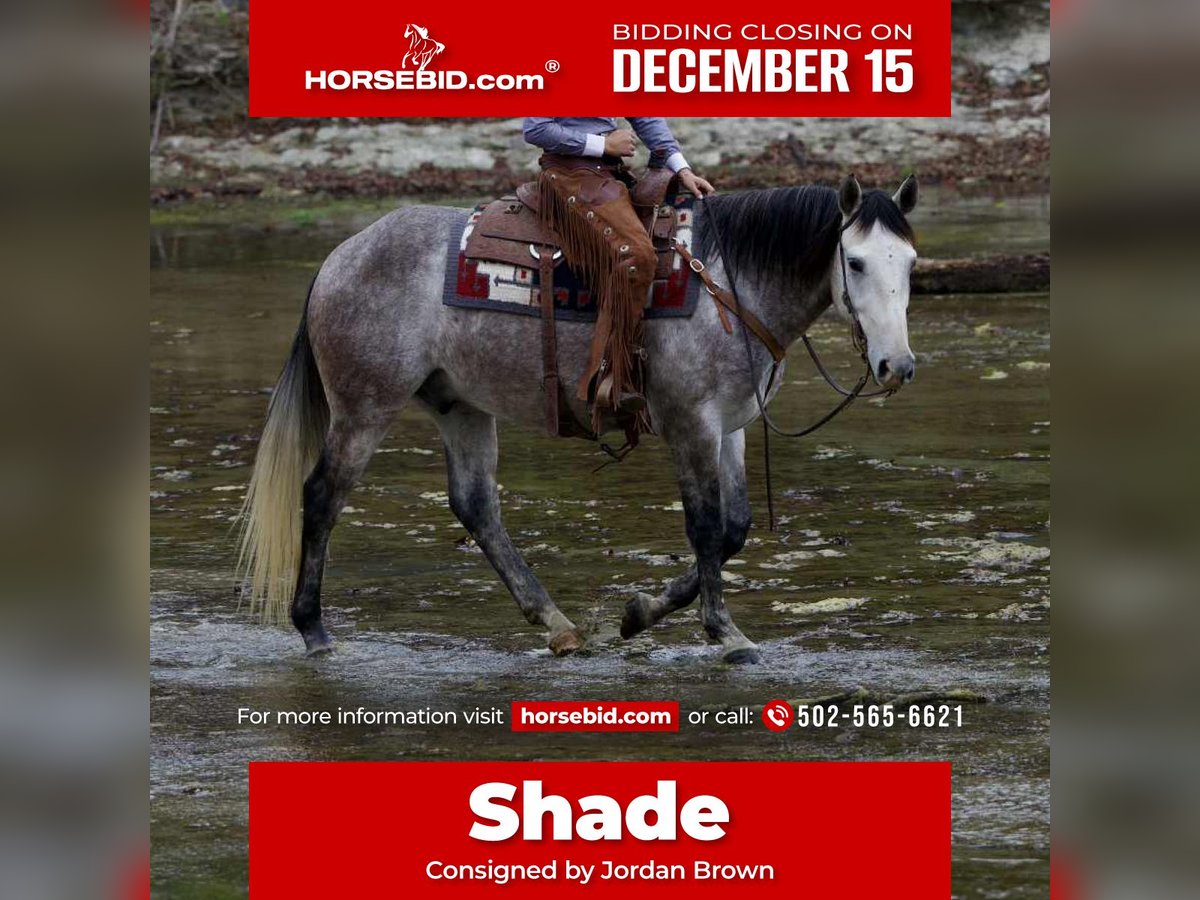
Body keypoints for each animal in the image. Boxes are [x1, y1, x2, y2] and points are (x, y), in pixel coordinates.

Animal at [237, 174, 919, 664]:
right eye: (856, 263)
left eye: (910, 263)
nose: (898, 365)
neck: (729, 287)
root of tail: (340, 257)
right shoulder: (691, 425)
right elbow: (705, 529)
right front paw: (726, 634)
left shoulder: (730, 428)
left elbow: (733, 531)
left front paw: (639, 613)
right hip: (365, 407)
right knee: (321, 496)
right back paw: (314, 629)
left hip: (461, 406)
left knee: (476, 508)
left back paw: (559, 626)